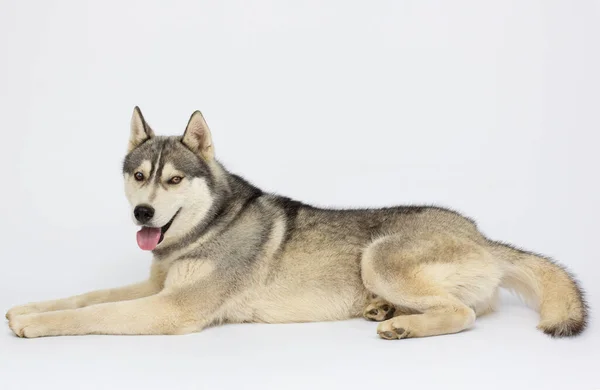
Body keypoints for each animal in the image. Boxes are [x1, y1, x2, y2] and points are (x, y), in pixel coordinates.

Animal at [7, 107, 588, 338]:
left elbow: (92, 313)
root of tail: (482, 236)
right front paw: (28, 308)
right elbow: (87, 297)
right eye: (140, 175)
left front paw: (37, 326)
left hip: (378, 255)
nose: (142, 213)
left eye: (173, 180)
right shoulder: (156, 285)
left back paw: (402, 323)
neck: (205, 230)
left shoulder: (174, 308)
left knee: (464, 313)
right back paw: (383, 310)